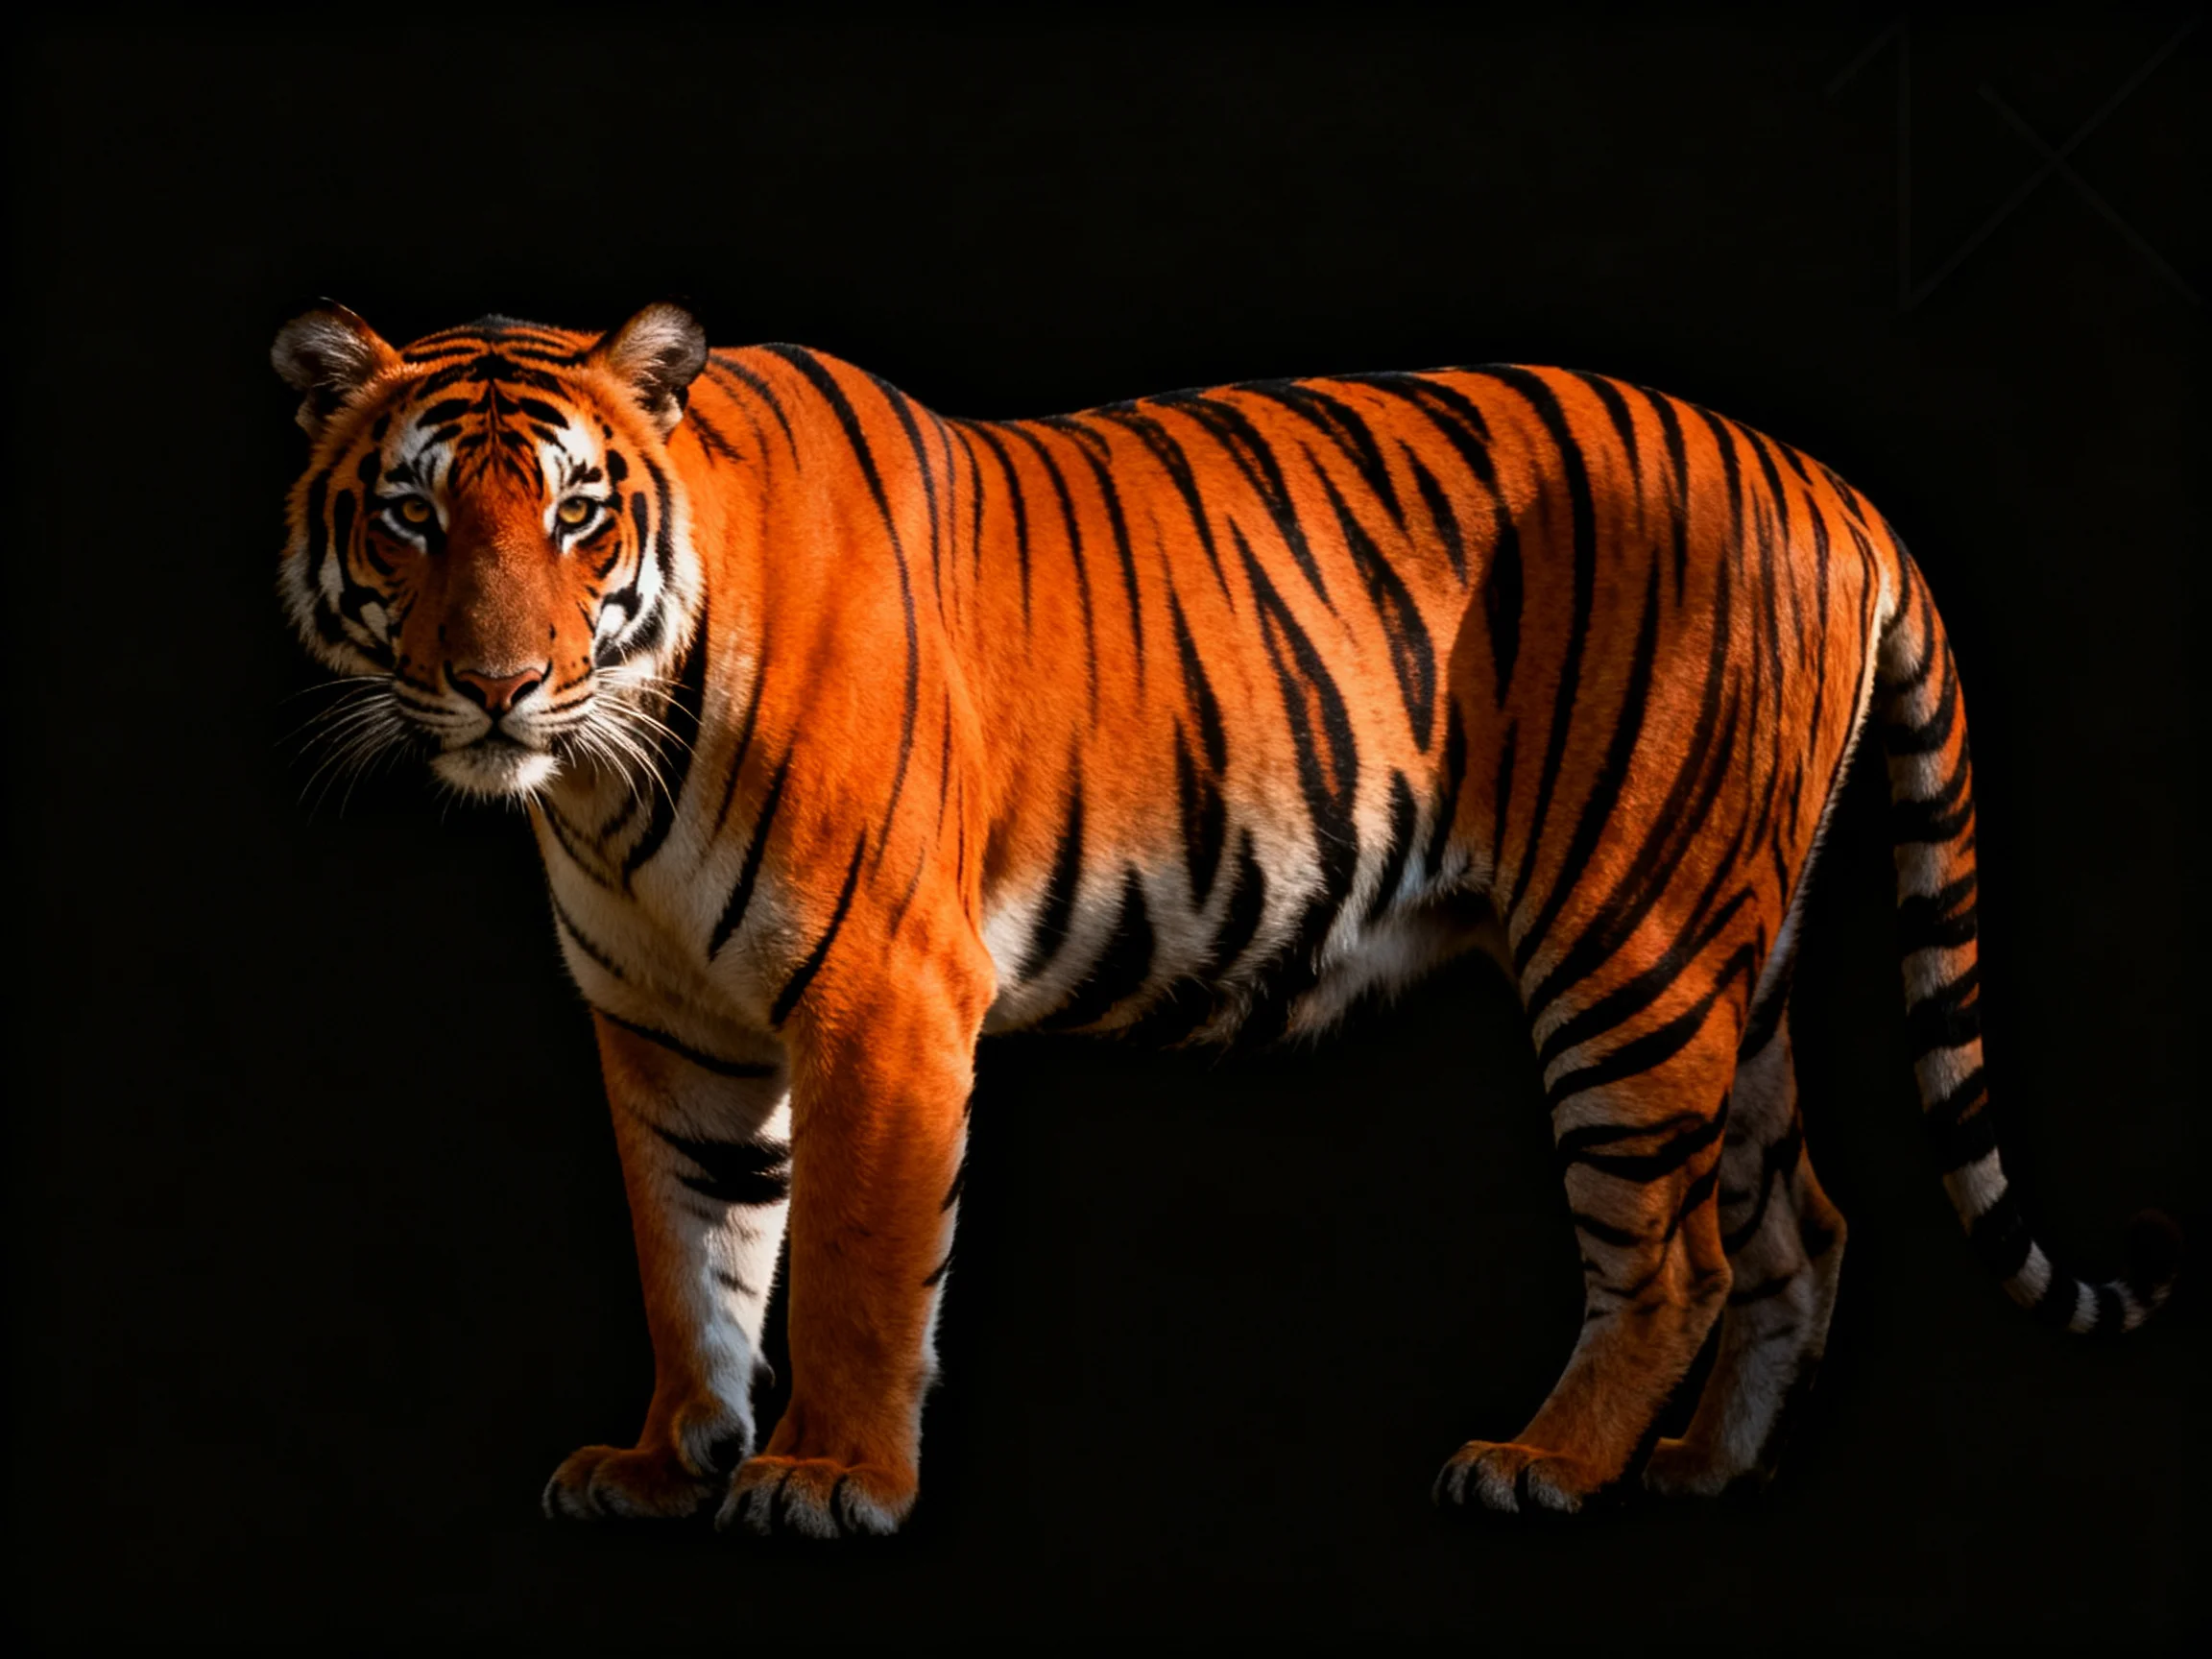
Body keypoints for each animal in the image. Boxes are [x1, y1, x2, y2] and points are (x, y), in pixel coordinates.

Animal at [271, 302, 2178, 1538]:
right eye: (413, 512)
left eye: (577, 514)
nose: (499, 684)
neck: (611, 782)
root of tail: (1825, 481)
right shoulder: (667, 1026)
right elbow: (695, 1258)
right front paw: (670, 1461)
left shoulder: (883, 997)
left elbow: (861, 1269)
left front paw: (827, 1476)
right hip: (1733, 953)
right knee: (1805, 1223)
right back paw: (1700, 1473)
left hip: (1632, 948)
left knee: (1680, 1251)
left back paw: (1544, 1465)